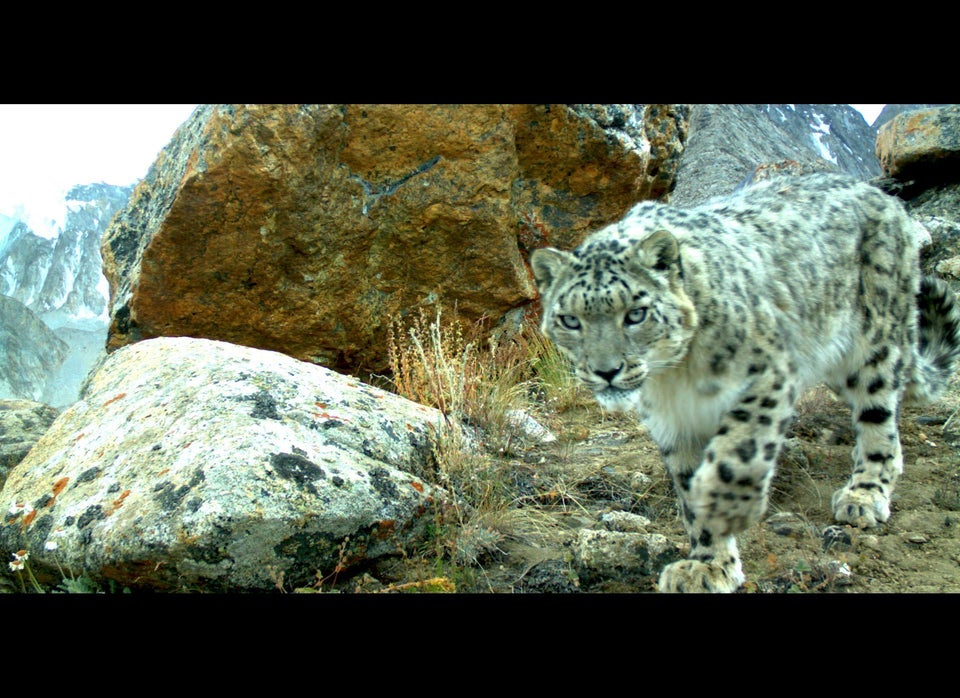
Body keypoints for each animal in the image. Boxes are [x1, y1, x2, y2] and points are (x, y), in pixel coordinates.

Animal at [532, 171, 960, 588]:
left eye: (636, 313)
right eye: (570, 319)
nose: (606, 370)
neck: (674, 378)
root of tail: (885, 197)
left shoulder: (768, 374)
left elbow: (737, 451)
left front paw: (724, 506)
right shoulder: (674, 423)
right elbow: (688, 486)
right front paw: (708, 565)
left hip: (874, 343)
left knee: (879, 420)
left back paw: (864, 495)